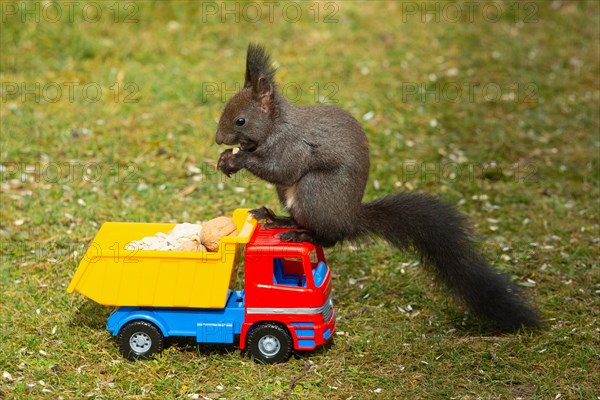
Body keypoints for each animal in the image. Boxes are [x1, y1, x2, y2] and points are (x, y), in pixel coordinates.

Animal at [214, 42, 540, 332]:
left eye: (240, 120)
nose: (218, 139)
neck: (274, 126)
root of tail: (350, 218)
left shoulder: (293, 145)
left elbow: (282, 169)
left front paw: (237, 159)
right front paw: (227, 158)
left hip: (315, 190)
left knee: (330, 237)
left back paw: (300, 233)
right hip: (294, 197)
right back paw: (278, 219)